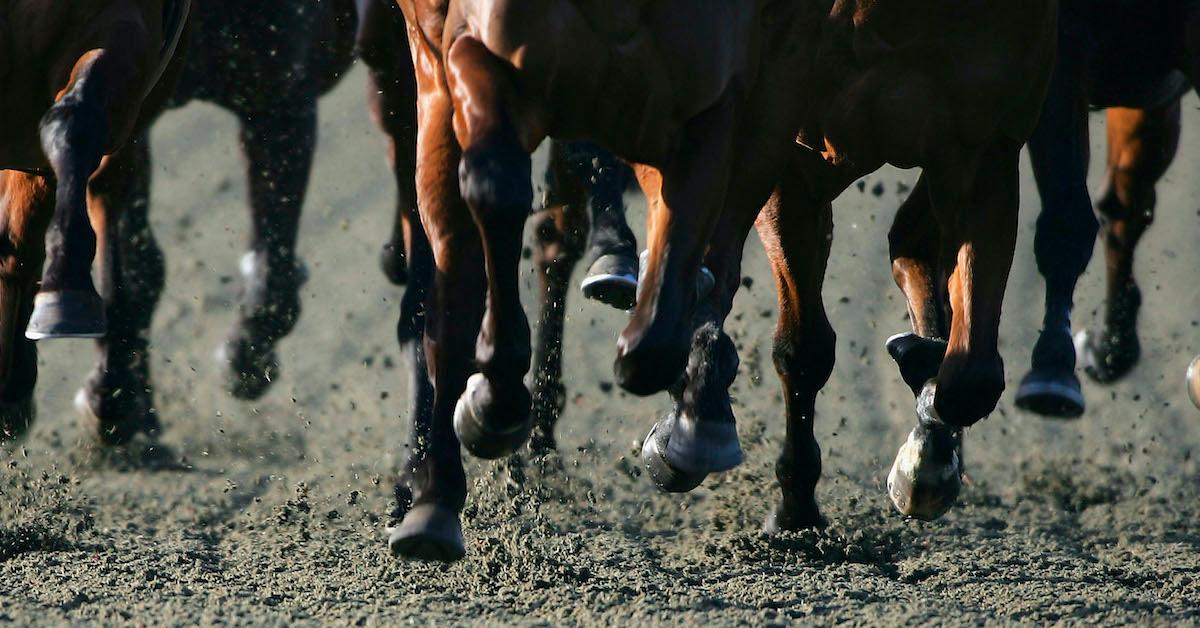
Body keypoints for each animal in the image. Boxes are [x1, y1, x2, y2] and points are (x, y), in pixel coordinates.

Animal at [389, 0, 1055, 560]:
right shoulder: (792, 147)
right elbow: (801, 345)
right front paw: (786, 500)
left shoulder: (984, 145)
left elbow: (971, 377)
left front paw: (924, 451)